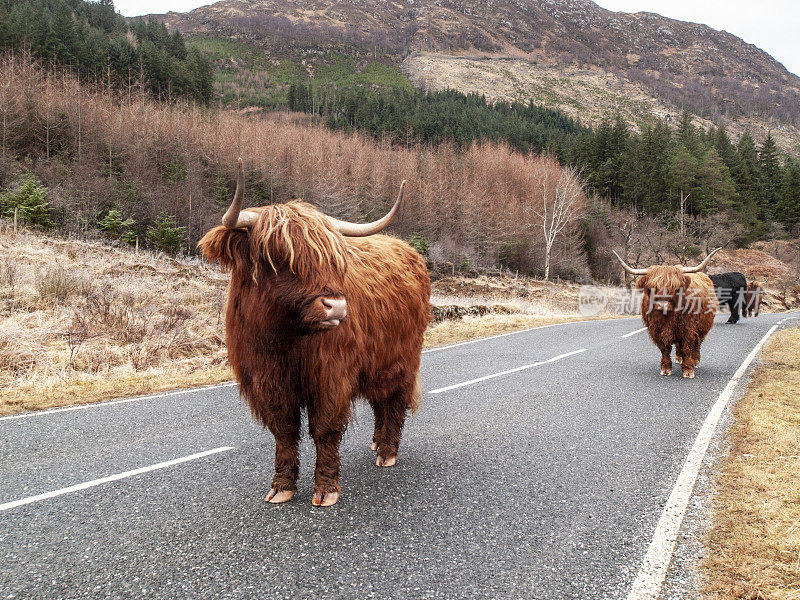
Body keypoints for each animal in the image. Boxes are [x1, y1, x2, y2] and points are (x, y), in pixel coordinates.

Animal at [199, 159, 432, 506]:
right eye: (278, 256)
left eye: (333, 259)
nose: (336, 307)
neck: (284, 340)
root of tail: (408, 250)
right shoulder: (268, 381)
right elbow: (283, 432)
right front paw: (281, 486)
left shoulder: (331, 377)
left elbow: (325, 430)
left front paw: (326, 489)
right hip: (377, 363)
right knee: (379, 400)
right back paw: (377, 442)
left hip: (403, 359)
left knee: (395, 401)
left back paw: (387, 451)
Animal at [616, 250, 720, 380]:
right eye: (653, 288)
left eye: (675, 288)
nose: (662, 305)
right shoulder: (657, 330)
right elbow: (665, 349)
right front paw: (665, 369)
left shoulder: (688, 329)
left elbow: (686, 348)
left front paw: (688, 370)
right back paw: (679, 359)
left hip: (702, 327)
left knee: (697, 344)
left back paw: (695, 361)